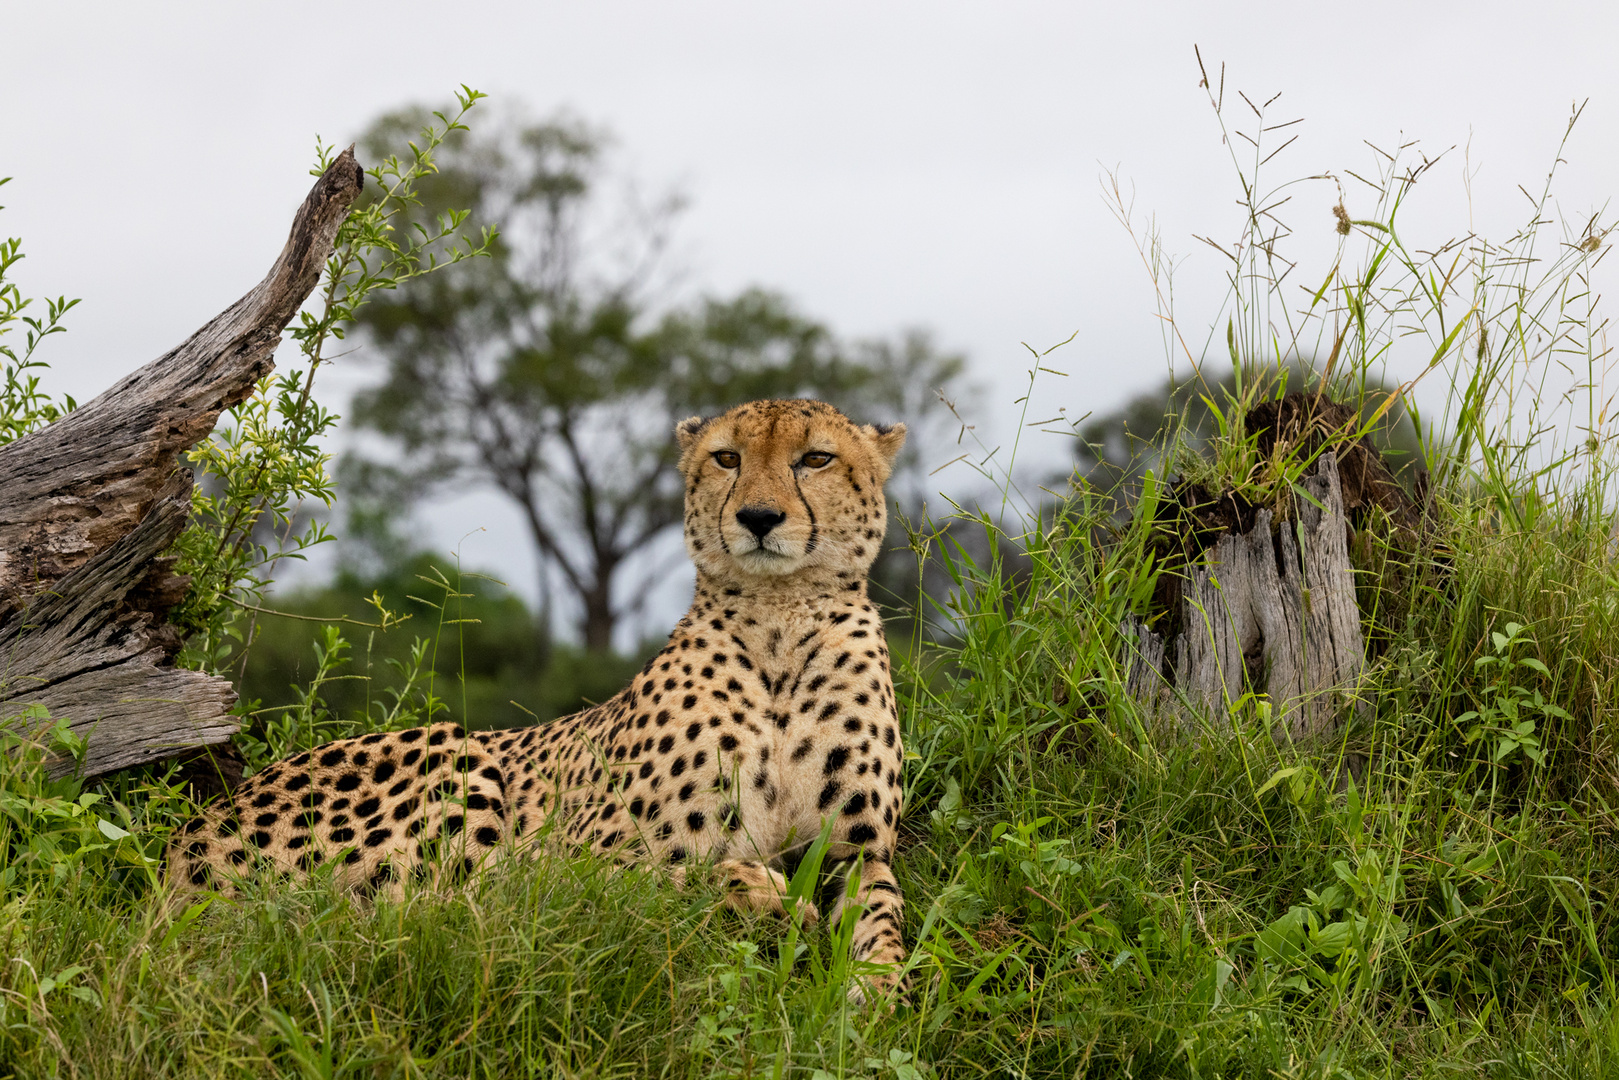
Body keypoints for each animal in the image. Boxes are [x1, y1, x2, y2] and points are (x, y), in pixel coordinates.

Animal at [172, 403, 919, 997]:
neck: (778, 622)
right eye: (726, 457)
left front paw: (875, 997)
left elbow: (884, 919)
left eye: (815, 458)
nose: (758, 517)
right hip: (453, 750)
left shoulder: (858, 849)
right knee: (445, 913)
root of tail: (178, 851)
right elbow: (653, 878)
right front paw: (773, 902)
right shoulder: (563, 861)